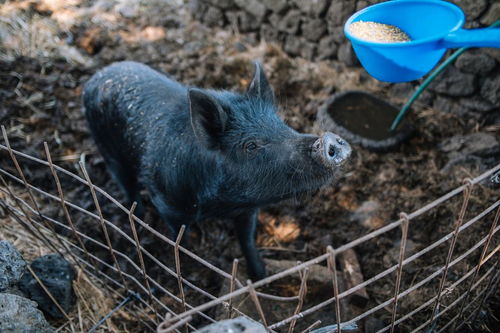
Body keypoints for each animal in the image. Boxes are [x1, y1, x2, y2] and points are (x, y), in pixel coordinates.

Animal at [84, 61, 352, 278]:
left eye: (283, 125)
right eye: (250, 145)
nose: (330, 139)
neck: (219, 205)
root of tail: (96, 75)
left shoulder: (248, 209)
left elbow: (247, 240)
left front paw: (261, 275)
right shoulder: (167, 203)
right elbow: (181, 241)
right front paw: (188, 273)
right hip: (107, 150)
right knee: (127, 188)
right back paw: (138, 221)